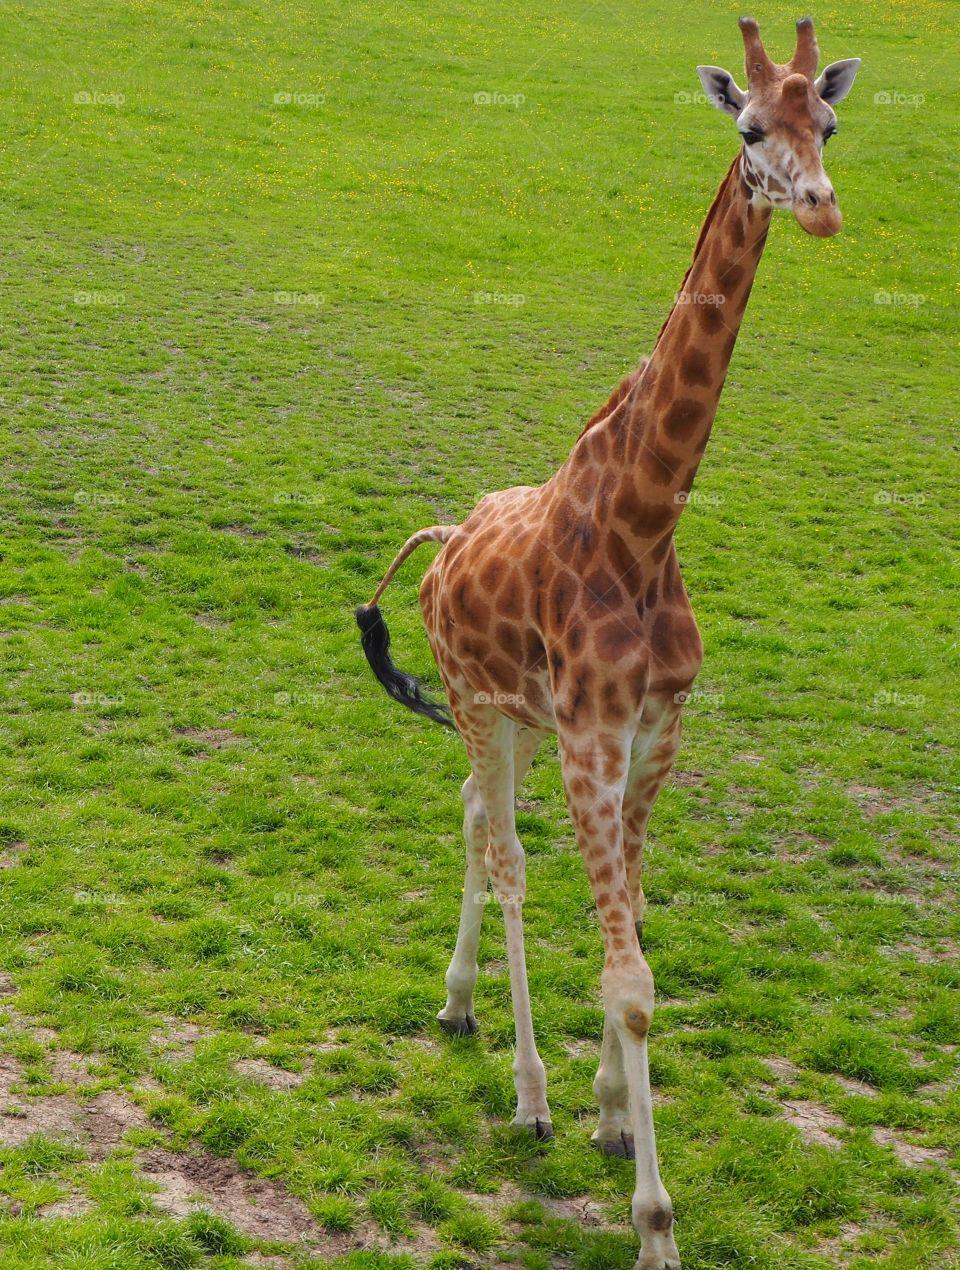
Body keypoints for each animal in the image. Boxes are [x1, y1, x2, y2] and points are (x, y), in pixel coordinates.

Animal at [355, 19, 858, 1270]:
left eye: (828, 123)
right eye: (748, 129)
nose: (820, 207)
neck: (643, 523)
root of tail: (441, 543)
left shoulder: (653, 731)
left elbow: (632, 940)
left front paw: (613, 1112)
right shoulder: (593, 734)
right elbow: (628, 974)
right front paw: (652, 1218)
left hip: (514, 720)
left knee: (475, 820)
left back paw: (461, 1003)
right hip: (479, 704)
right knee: (505, 856)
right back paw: (523, 1090)